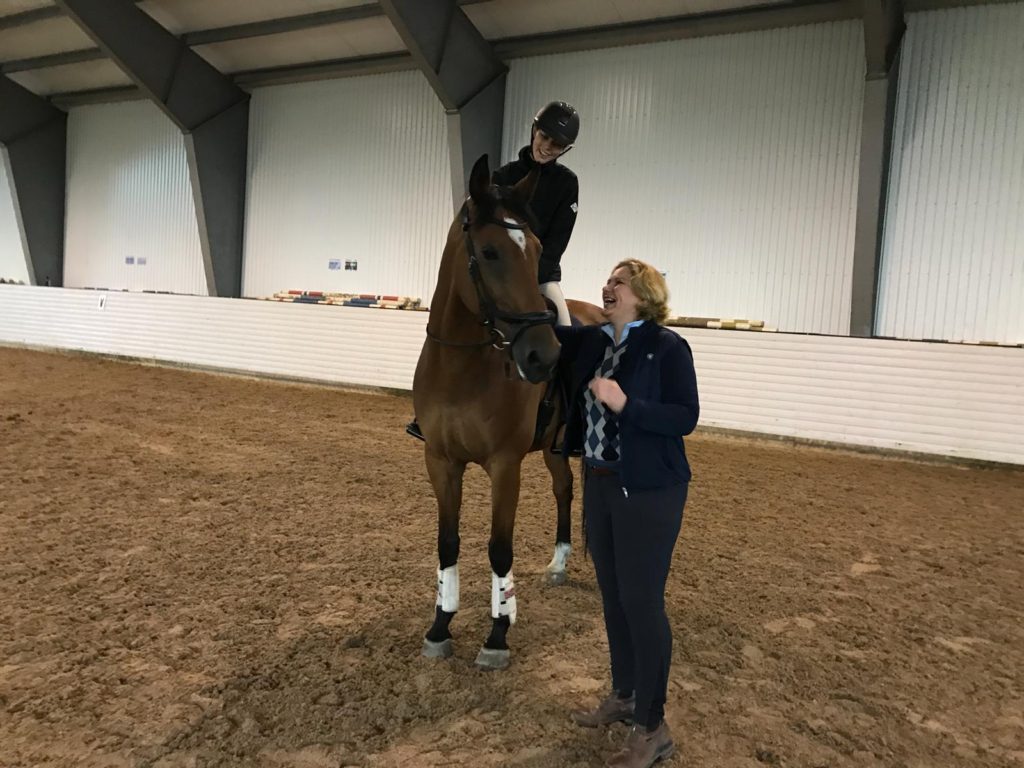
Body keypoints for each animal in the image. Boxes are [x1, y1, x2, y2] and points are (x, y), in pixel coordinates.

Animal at [411, 153, 585, 671]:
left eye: (537, 249)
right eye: (488, 253)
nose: (542, 358)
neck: (462, 367)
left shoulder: (505, 466)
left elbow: (499, 548)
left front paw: (497, 634)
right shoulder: (441, 462)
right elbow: (447, 543)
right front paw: (440, 626)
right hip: (552, 447)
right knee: (564, 488)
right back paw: (558, 564)